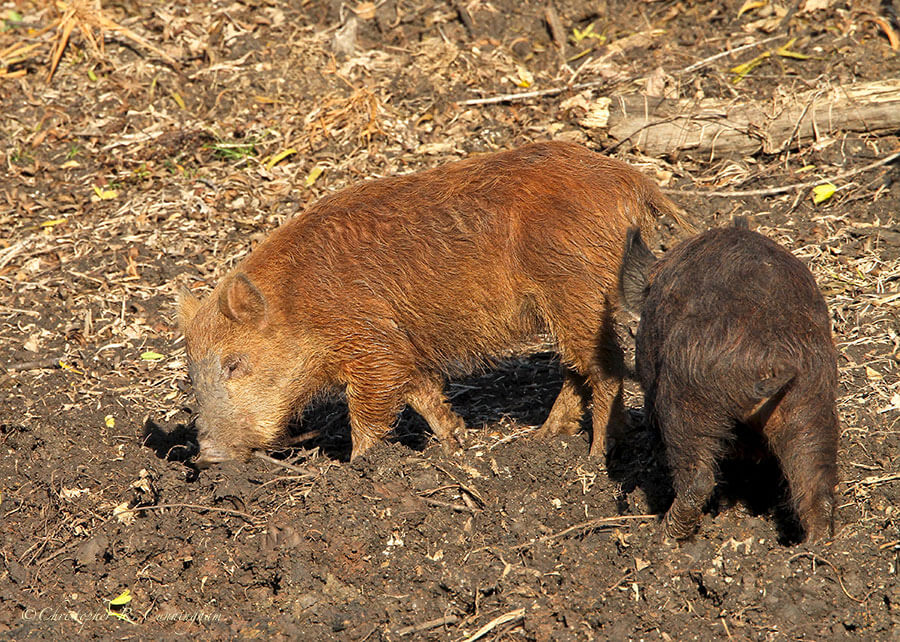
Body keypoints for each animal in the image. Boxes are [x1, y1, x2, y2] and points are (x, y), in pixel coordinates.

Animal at [179, 141, 684, 464]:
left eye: (234, 363)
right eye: (192, 372)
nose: (206, 458)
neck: (301, 306)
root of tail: (630, 181)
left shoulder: (372, 347)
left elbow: (370, 413)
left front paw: (359, 467)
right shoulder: (403, 350)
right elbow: (421, 393)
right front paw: (455, 443)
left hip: (576, 292)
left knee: (607, 366)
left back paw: (594, 455)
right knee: (576, 370)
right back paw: (542, 439)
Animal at [624, 219, 840, 540]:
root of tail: (774, 358)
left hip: (689, 396)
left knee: (699, 477)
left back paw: (662, 537)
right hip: (812, 399)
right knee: (814, 483)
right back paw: (816, 543)